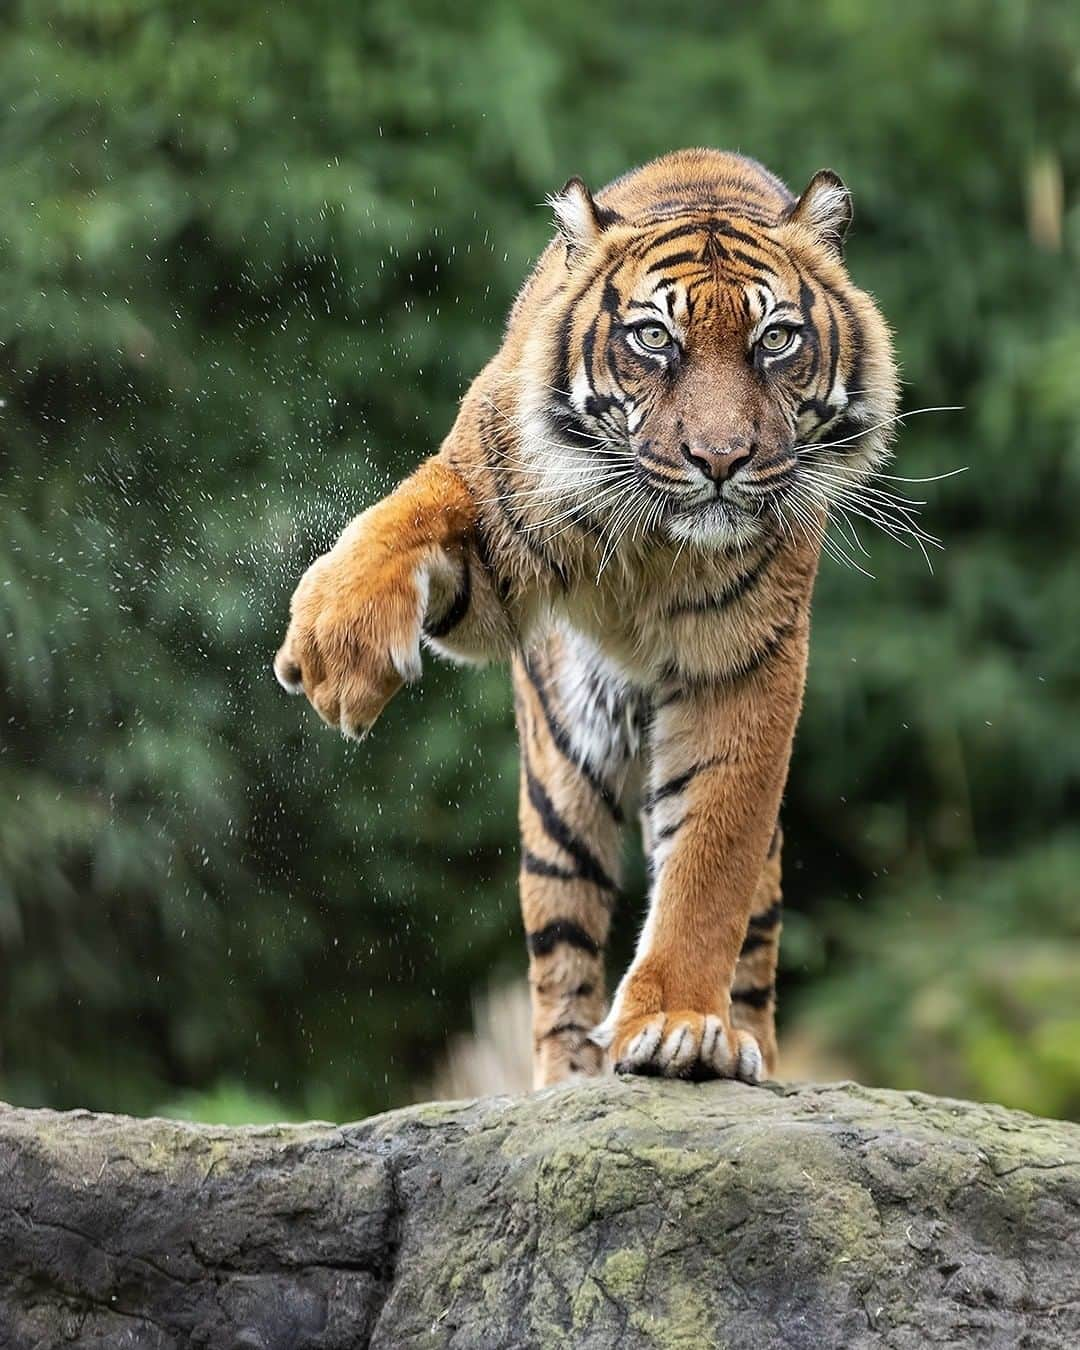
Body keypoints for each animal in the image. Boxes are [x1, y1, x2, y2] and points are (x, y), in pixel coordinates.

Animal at [274, 147, 896, 1090]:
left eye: (776, 341)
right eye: (655, 339)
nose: (721, 461)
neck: (659, 536)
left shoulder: (747, 666)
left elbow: (709, 866)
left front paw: (678, 1023)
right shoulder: (488, 546)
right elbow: (412, 506)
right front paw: (333, 650)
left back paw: (742, 1047)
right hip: (561, 774)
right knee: (561, 943)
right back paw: (564, 1078)